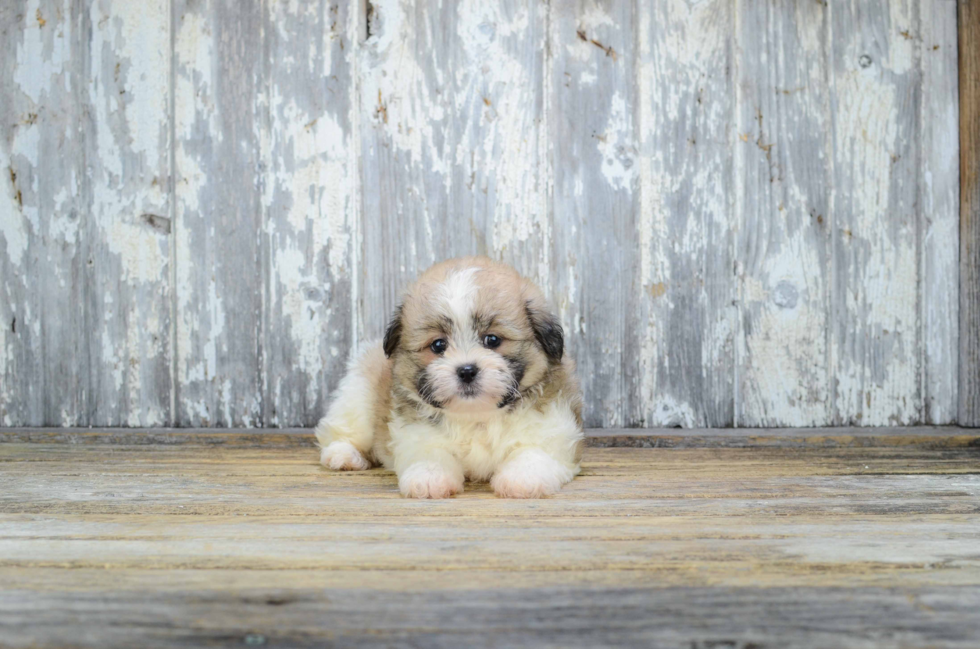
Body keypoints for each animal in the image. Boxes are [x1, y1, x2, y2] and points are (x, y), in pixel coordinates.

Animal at [316, 256, 580, 498]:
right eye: (438, 345)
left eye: (492, 340)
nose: (467, 370)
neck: (476, 416)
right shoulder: (416, 432)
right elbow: (430, 452)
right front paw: (429, 477)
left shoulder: (550, 428)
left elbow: (534, 452)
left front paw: (522, 477)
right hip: (358, 395)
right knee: (344, 430)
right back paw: (344, 455)